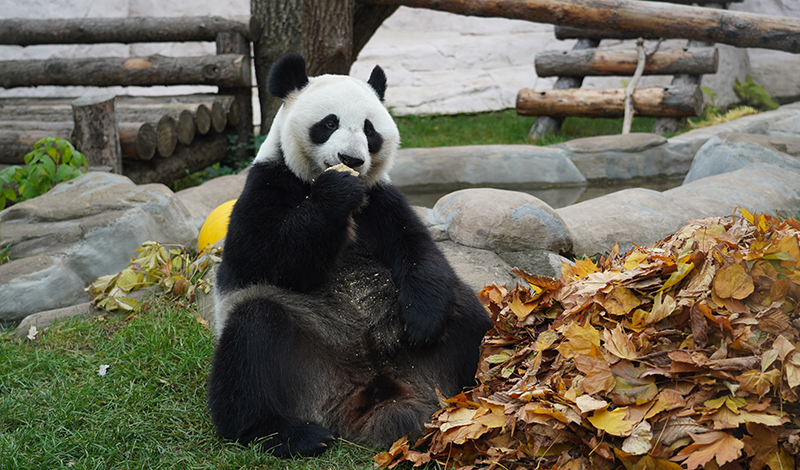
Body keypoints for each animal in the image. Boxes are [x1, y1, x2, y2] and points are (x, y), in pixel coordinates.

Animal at [206, 53, 494, 458]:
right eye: (329, 123)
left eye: (370, 130)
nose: (352, 159)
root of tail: (368, 391)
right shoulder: (266, 185)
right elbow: (265, 257)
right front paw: (336, 192)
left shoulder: (381, 199)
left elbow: (417, 250)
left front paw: (423, 320)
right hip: (304, 356)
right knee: (250, 342)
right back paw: (287, 433)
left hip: (408, 344)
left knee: (467, 315)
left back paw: (484, 396)